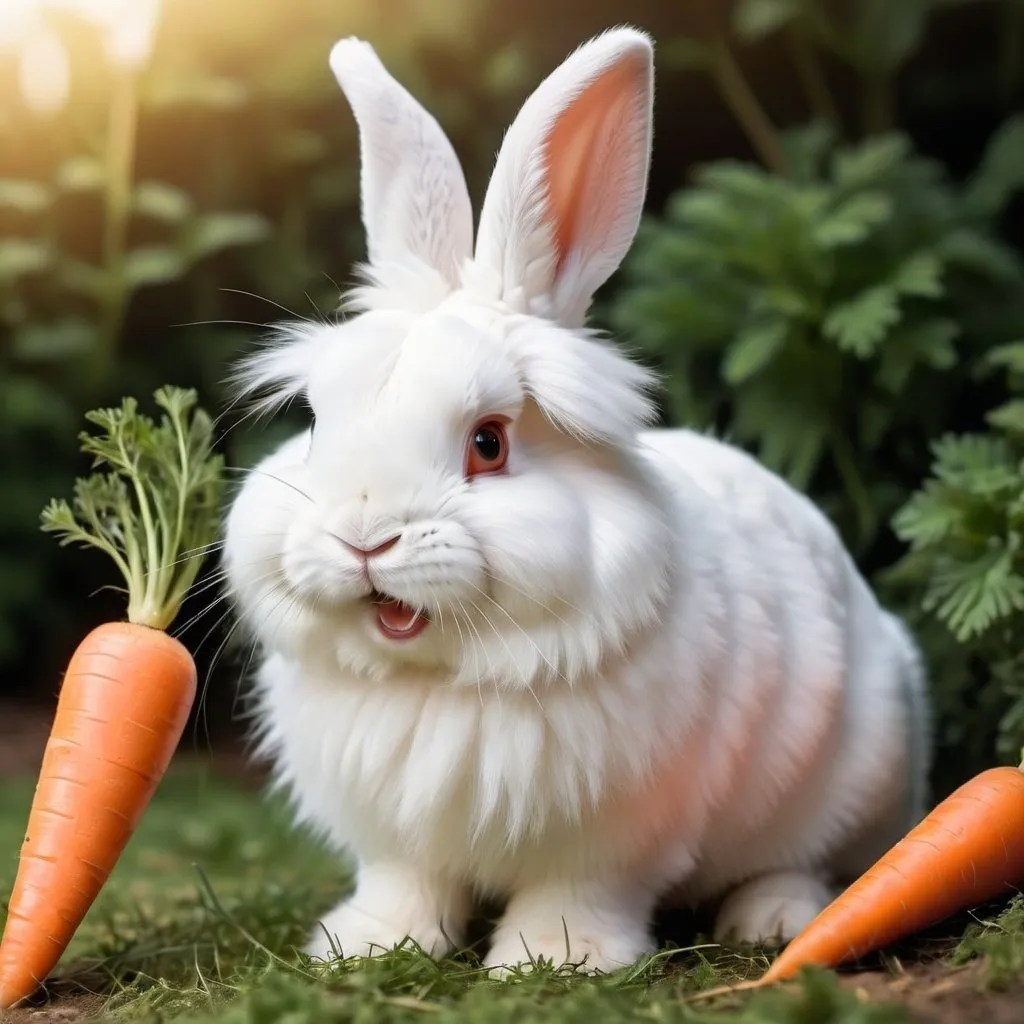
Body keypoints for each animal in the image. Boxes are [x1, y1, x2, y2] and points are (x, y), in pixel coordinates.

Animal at [226, 22, 937, 966]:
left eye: (489, 443)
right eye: (315, 422)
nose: (364, 536)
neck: (445, 679)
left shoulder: (614, 838)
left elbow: (577, 894)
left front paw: (552, 960)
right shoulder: (395, 834)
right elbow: (404, 884)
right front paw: (367, 946)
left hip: (853, 780)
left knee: (809, 862)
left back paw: (772, 919)